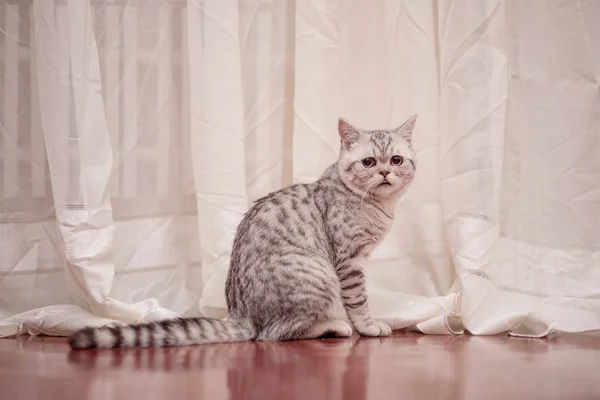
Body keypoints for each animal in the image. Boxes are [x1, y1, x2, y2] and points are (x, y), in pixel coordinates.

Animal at [68, 115, 418, 350]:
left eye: (396, 159)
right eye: (368, 162)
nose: (384, 172)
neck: (379, 205)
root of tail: (239, 316)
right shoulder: (349, 261)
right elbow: (358, 300)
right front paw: (368, 326)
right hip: (318, 274)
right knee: (271, 335)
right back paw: (333, 326)